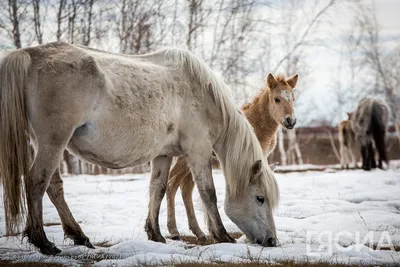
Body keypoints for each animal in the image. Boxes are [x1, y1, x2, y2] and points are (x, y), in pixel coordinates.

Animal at [0, 42, 280, 255]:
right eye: (260, 198)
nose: (272, 241)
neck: (201, 93)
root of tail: (29, 55)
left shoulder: (164, 154)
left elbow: (158, 189)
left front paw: (156, 234)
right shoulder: (198, 151)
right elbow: (207, 193)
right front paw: (222, 236)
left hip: (48, 144)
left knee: (54, 187)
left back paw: (79, 236)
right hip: (53, 142)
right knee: (36, 182)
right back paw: (43, 242)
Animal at [166, 74, 296, 245]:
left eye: (293, 98)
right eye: (277, 99)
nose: (290, 121)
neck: (256, 123)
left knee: (186, 188)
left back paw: (199, 233)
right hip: (187, 159)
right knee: (172, 183)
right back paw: (174, 232)